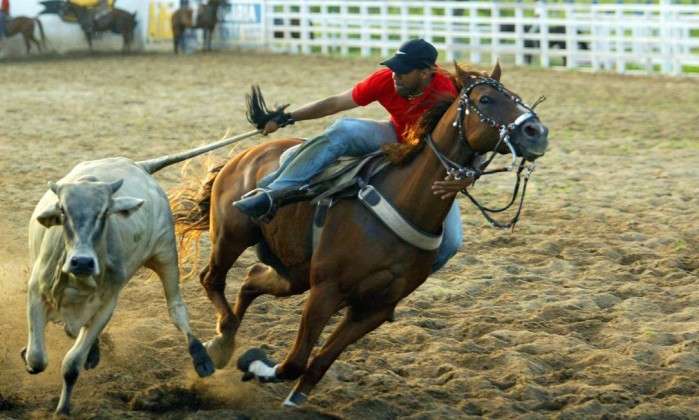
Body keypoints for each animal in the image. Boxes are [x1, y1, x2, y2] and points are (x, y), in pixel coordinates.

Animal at [21, 130, 260, 414]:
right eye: (63, 211)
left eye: (105, 213)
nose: (82, 262)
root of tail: (138, 165)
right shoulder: (37, 292)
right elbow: (37, 358)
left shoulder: (105, 305)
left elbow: (70, 365)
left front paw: (62, 409)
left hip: (166, 253)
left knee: (176, 308)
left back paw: (201, 357)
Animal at [172, 60, 548, 406]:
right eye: (485, 99)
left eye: (516, 97)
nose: (537, 131)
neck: (404, 200)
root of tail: (244, 155)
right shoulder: (325, 291)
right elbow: (294, 362)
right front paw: (254, 364)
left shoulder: (374, 310)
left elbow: (318, 361)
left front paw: (292, 393)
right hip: (231, 236)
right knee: (212, 279)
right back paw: (222, 338)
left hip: (293, 273)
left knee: (250, 280)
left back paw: (224, 341)